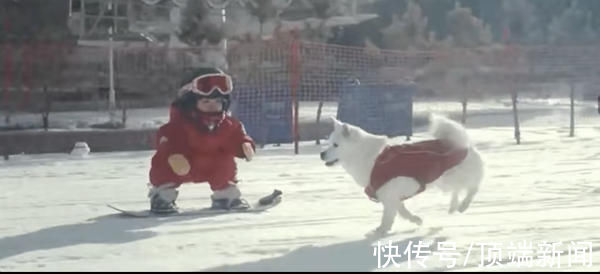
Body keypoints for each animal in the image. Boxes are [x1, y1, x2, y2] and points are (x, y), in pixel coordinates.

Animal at [322, 113, 486, 235]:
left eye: (336, 145)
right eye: (329, 143)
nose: (322, 154)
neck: (370, 158)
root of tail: (466, 145)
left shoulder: (389, 195)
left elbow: (388, 217)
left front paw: (381, 231)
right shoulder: (390, 196)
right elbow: (402, 211)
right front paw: (416, 220)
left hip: (454, 177)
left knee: (473, 187)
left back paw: (463, 205)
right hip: (443, 180)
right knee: (457, 190)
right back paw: (453, 207)